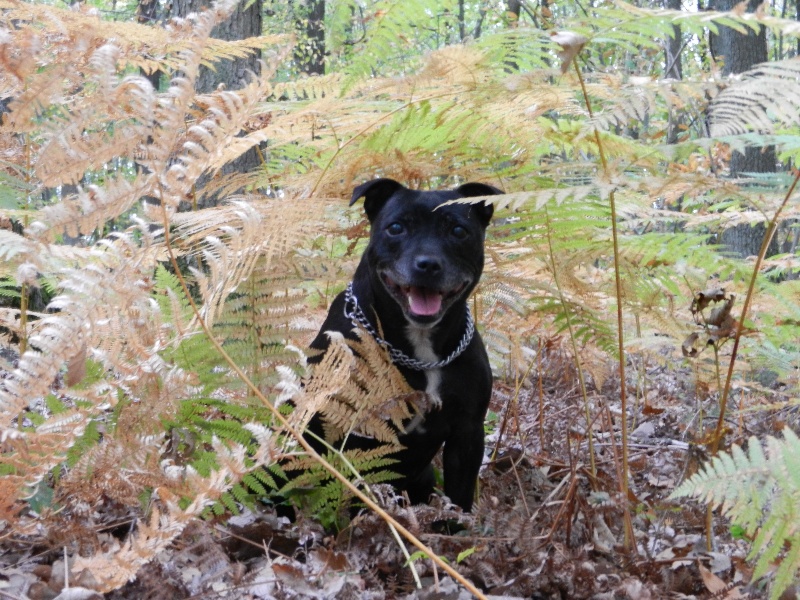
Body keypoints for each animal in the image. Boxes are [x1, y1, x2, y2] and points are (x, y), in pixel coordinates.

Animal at [306, 178, 500, 510]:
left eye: (458, 231)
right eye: (396, 227)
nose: (428, 264)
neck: (422, 352)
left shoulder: (468, 434)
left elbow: (458, 501)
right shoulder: (359, 434)